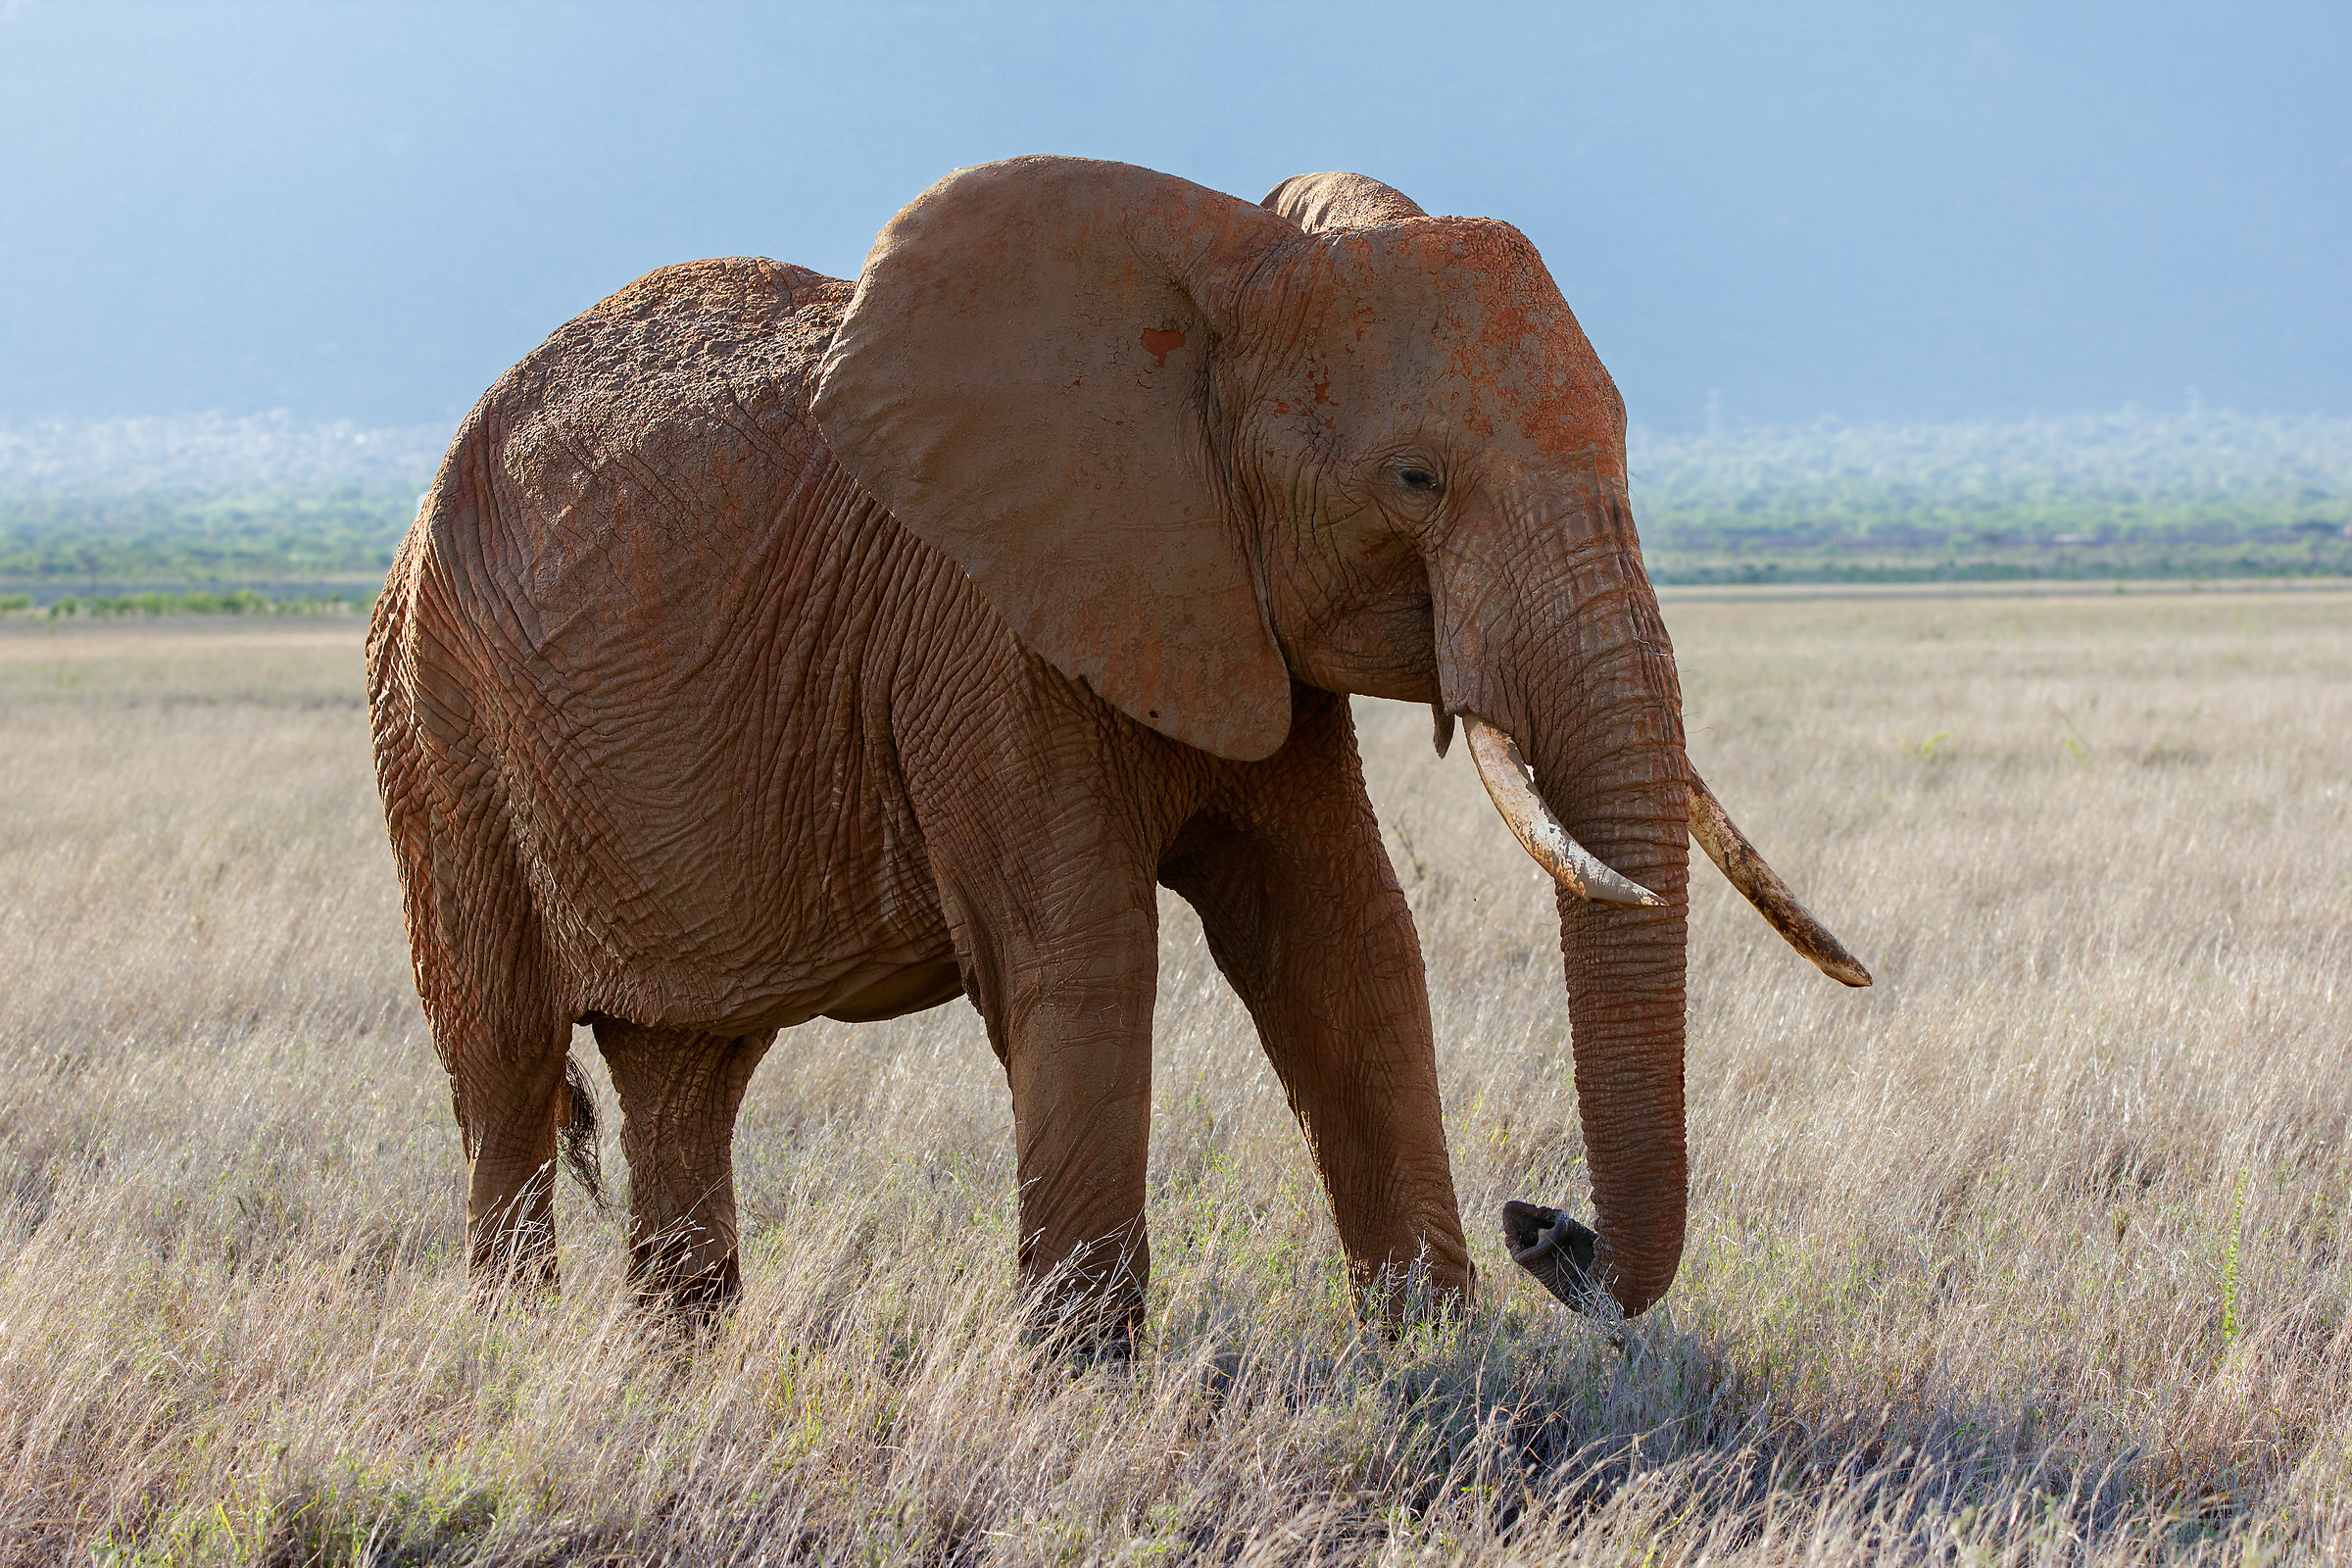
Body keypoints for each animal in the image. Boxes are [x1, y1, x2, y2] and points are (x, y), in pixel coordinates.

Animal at [366, 156, 1867, 1343]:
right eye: (1416, 480)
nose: (1543, 1223)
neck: (1224, 278)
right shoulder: (989, 626)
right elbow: (1079, 957)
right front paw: (1083, 1387)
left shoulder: (1229, 607)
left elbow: (1345, 941)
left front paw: (1440, 1358)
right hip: (435, 719)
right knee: (505, 1057)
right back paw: (516, 1358)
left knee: (689, 1067)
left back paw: (679, 1368)